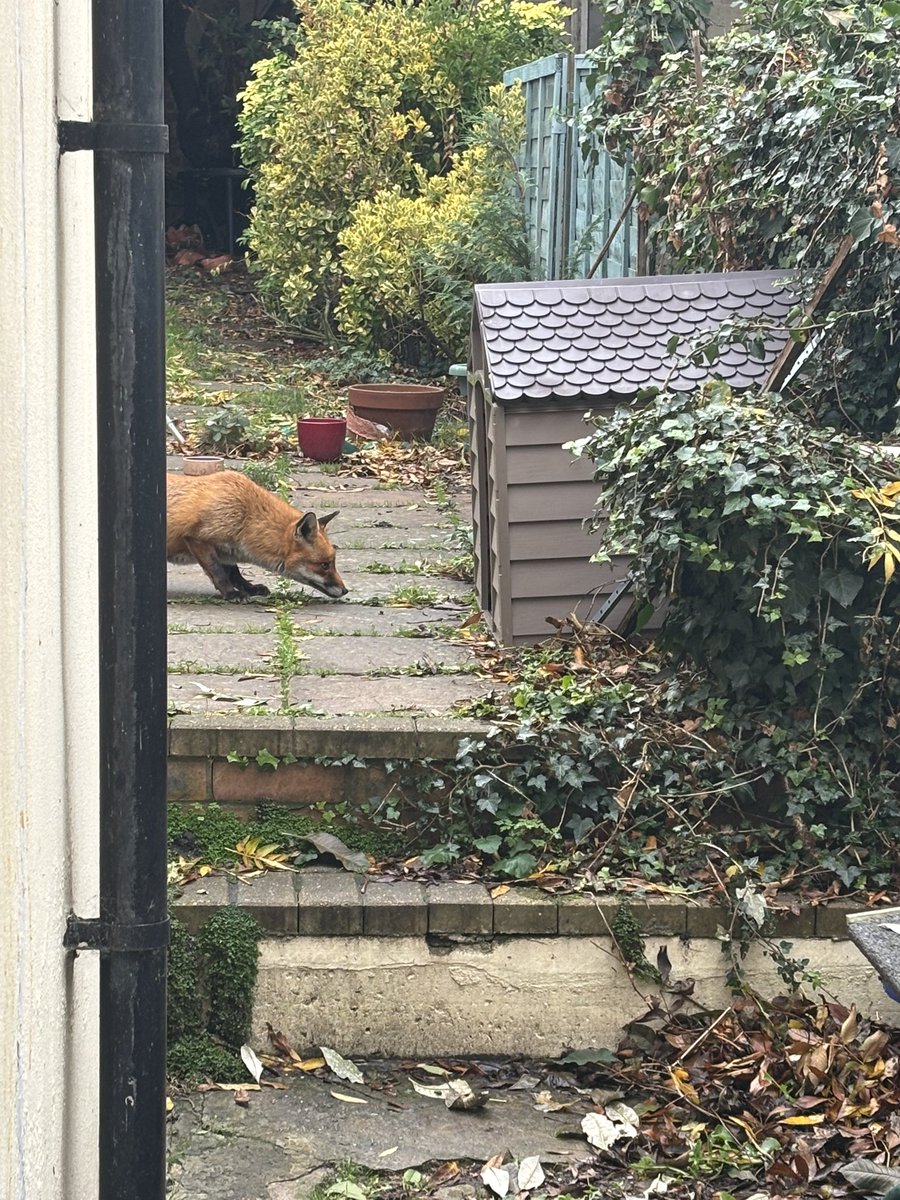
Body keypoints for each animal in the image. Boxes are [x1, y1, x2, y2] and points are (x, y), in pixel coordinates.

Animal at [166, 470, 348, 601]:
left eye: (332, 563)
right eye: (324, 565)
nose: (346, 590)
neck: (246, 518)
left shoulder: (225, 551)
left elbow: (234, 573)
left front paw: (250, 588)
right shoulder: (197, 538)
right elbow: (218, 572)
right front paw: (231, 594)